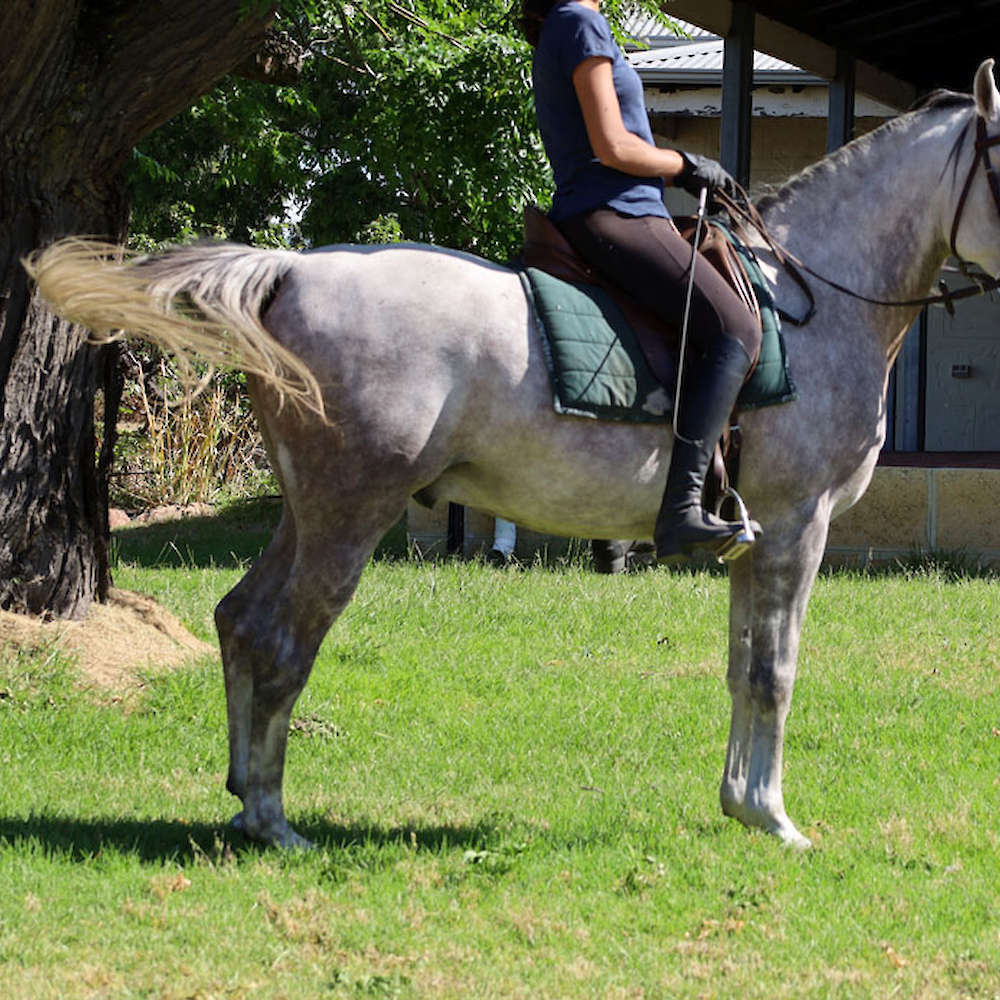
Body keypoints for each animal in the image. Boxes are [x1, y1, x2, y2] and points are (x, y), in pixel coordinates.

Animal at [25, 60, 1000, 851]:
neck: (819, 300)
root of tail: (291, 269)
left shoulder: (756, 540)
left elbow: (739, 666)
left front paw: (737, 806)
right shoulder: (799, 525)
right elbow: (775, 669)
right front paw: (774, 819)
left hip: (308, 510)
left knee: (238, 619)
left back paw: (241, 800)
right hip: (350, 513)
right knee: (281, 636)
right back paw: (271, 821)